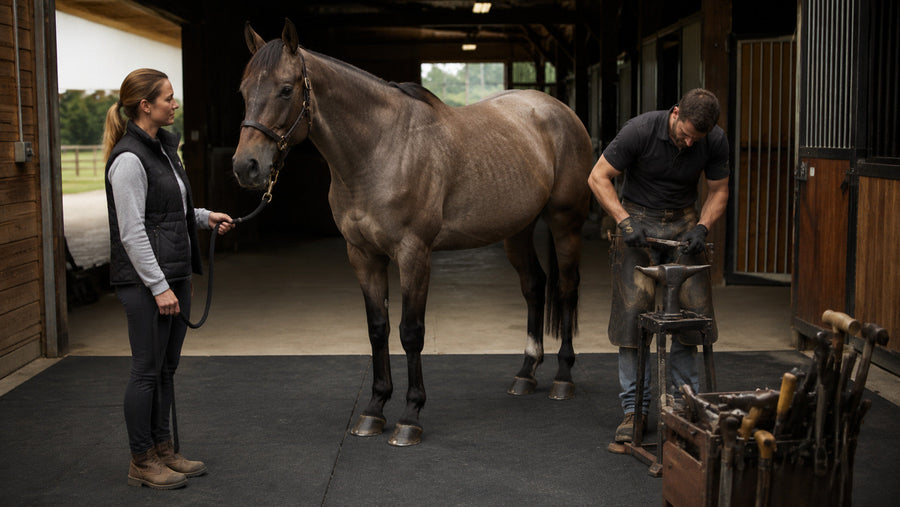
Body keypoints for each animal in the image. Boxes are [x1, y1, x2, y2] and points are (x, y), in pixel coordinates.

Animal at [232, 19, 594, 446]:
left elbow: (410, 331)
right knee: (534, 286)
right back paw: (526, 373)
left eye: (286, 89)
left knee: (566, 288)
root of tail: (558, 110)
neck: (380, 149)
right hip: (517, 230)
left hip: (564, 222)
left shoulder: (413, 254)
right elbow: (378, 329)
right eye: (243, 90)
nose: (246, 166)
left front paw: (410, 416)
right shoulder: (362, 255)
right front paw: (374, 410)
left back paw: (563, 377)